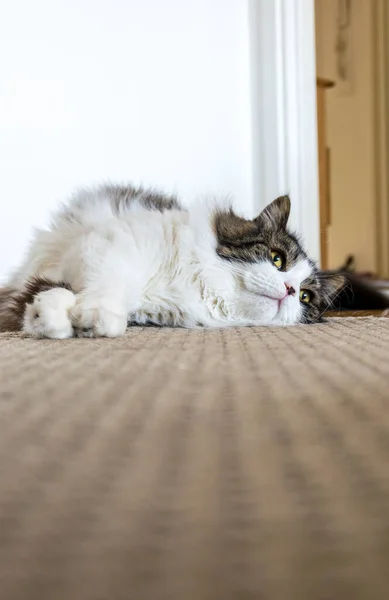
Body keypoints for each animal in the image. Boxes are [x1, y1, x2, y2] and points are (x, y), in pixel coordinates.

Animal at [0, 184, 342, 338]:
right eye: (277, 259)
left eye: (305, 296)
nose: (289, 289)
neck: (196, 284)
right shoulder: (110, 242)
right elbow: (108, 283)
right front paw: (84, 316)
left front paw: (51, 316)